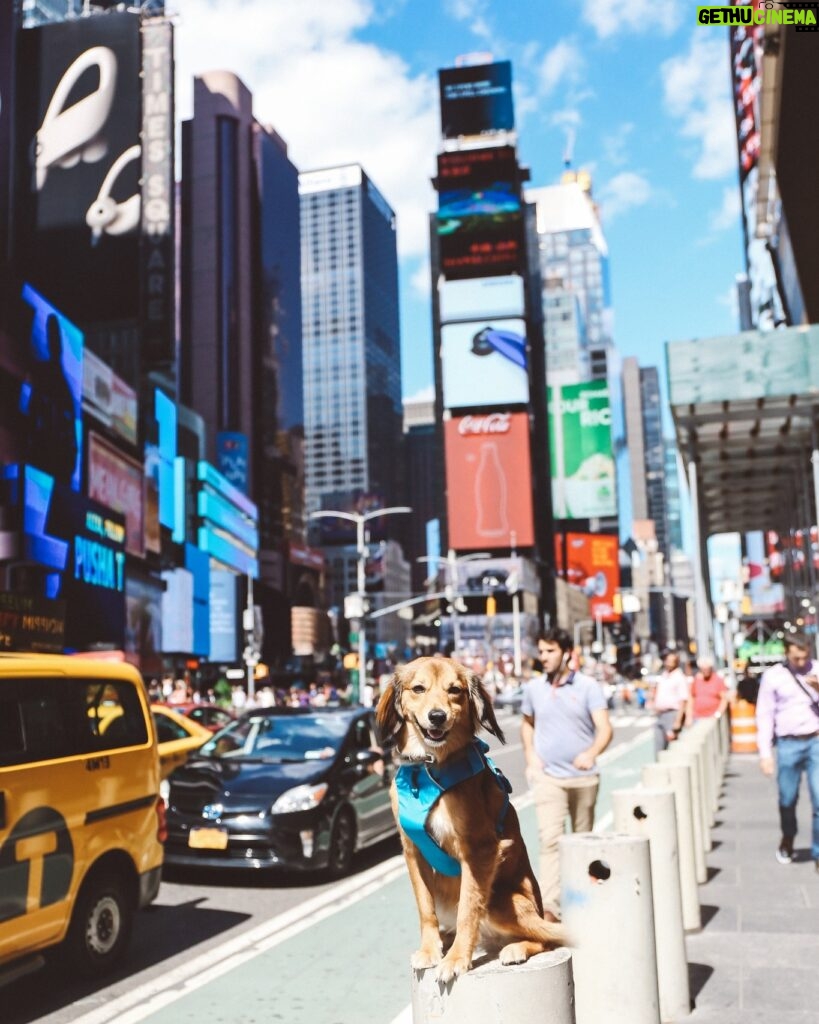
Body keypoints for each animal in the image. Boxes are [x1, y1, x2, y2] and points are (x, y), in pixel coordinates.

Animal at [376, 655, 565, 983]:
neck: (427, 770)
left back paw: (514, 948)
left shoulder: (479, 851)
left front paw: (455, 959)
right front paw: (430, 950)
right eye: (419, 688)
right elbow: (425, 907)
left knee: (547, 937)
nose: (437, 717)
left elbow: (467, 908)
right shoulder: (413, 851)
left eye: (455, 690)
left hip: (502, 902)